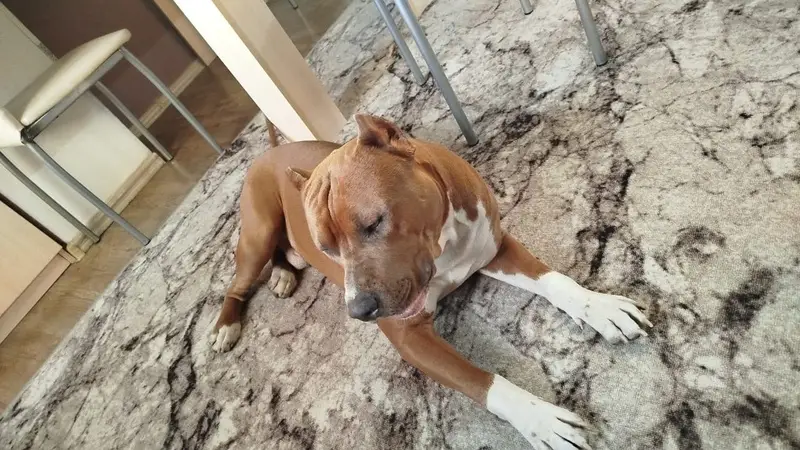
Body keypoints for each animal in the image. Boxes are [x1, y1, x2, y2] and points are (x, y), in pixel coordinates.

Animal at [210, 114, 652, 449]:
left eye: (374, 223)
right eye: (327, 247)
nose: (359, 310)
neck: (442, 245)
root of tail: (268, 152)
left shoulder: (498, 248)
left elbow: (554, 280)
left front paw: (602, 307)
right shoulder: (409, 336)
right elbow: (482, 381)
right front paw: (539, 419)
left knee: (279, 258)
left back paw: (284, 274)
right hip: (256, 233)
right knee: (237, 282)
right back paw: (226, 326)